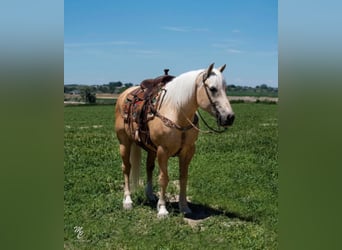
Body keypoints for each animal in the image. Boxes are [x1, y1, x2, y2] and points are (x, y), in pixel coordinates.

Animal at [115, 63, 235, 217]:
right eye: (213, 89)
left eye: (225, 88)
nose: (229, 117)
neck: (176, 112)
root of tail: (125, 94)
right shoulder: (163, 151)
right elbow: (163, 178)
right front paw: (162, 209)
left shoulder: (188, 151)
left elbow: (183, 177)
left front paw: (184, 207)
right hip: (124, 143)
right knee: (126, 168)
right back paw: (128, 201)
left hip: (150, 148)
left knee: (149, 167)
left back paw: (150, 195)